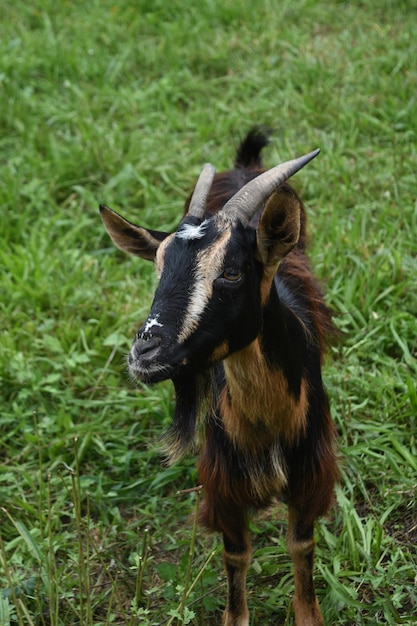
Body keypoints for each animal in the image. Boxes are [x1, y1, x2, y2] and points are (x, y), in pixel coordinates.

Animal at [100, 128, 338, 624]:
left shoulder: (311, 474)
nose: (144, 351)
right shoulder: (224, 483)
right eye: (157, 269)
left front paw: (308, 614)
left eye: (231, 272)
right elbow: (236, 556)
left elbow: (301, 546)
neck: (268, 424)